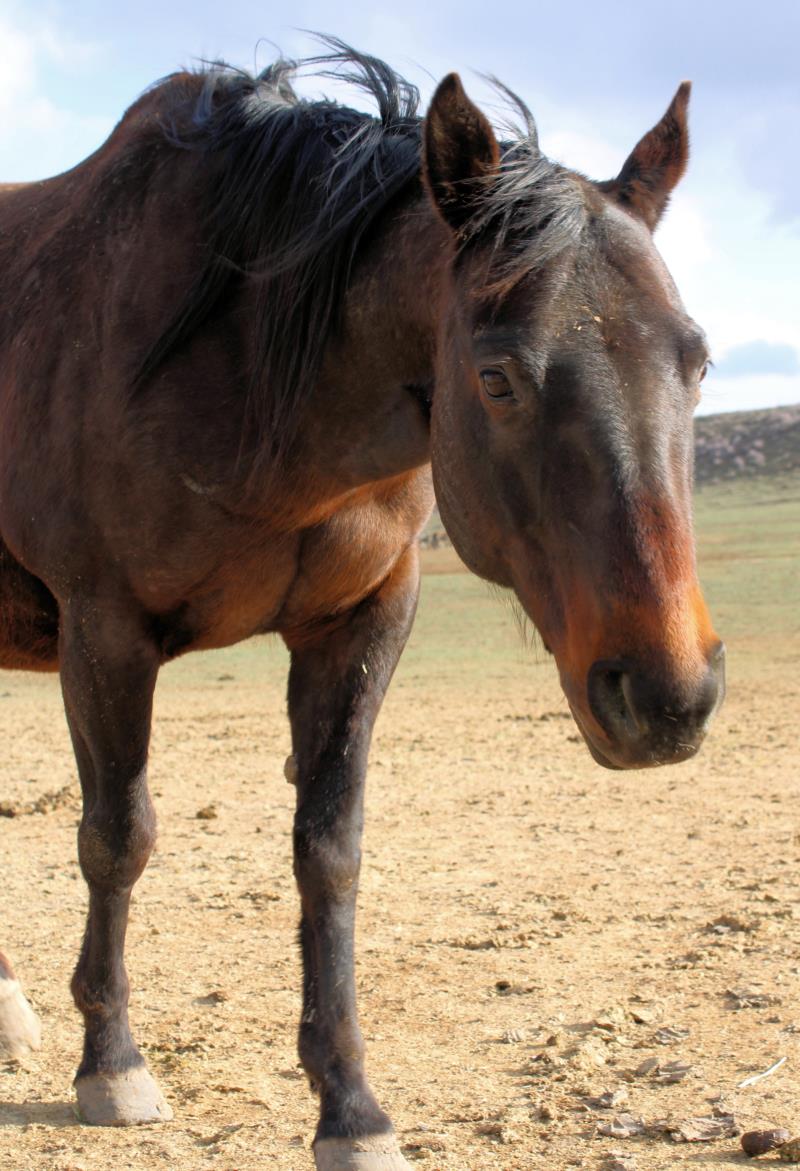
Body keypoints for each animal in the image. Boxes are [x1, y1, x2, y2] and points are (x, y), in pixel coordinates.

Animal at [0, 38, 721, 1171]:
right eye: (497, 377)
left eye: (695, 361)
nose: (666, 696)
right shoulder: (104, 631)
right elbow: (118, 835)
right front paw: (111, 1063)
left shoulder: (362, 625)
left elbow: (329, 852)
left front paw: (350, 1105)